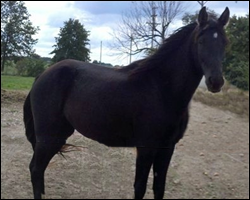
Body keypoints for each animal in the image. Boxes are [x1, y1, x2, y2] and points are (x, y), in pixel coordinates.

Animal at [24, 7, 229, 199]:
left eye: (224, 43)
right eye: (200, 41)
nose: (216, 82)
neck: (161, 89)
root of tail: (42, 75)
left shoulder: (167, 148)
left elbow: (159, 188)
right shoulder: (146, 148)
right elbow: (140, 187)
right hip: (50, 136)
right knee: (36, 169)